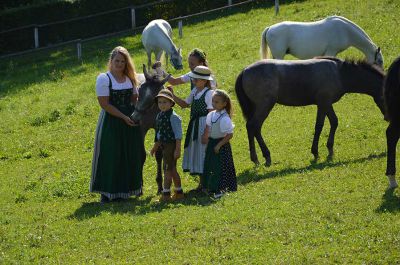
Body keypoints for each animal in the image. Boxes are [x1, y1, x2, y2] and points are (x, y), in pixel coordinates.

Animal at [130, 64, 170, 192]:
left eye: (153, 97)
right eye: (140, 90)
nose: (134, 117)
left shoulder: (159, 129)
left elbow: (158, 155)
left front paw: (160, 185)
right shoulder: (141, 128)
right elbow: (142, 154)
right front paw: (140, 184)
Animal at [236, 57, 386, 165]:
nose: (387, 117)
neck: (339, 74)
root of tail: (244, 70)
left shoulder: (326, 103)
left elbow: (334, 122)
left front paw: (330, 149)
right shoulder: (323, 103)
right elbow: (319, 126)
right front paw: (315, 152)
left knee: (252, 128)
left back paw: (258, 158)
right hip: (264, 106)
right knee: (254, 126)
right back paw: (263, 157)